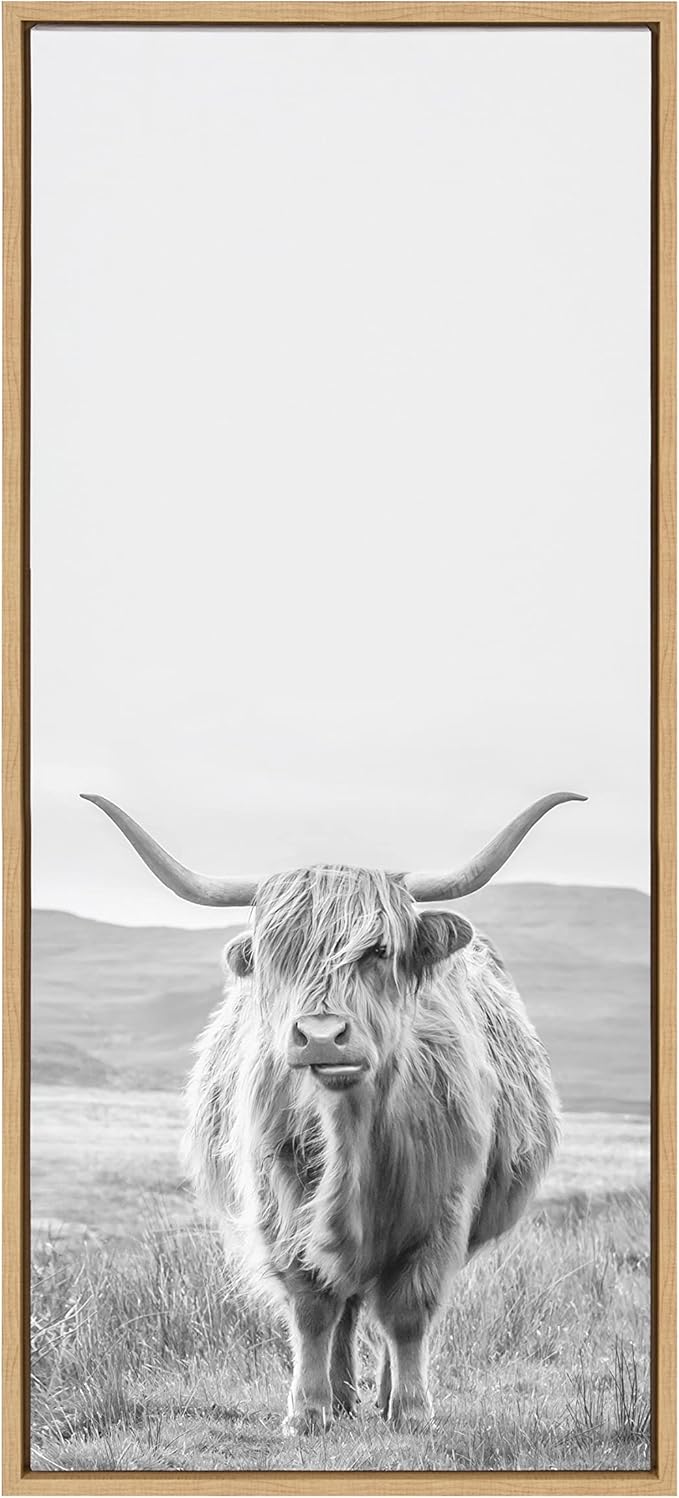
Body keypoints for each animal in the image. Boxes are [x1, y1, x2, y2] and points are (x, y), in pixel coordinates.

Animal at [82, 789, 584, 1433]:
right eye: (275, 953)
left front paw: (412, 1410)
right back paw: (343, 1396)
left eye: (378, 951)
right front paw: (309, 1409)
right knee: (343, 1303)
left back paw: (385, 1394)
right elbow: (313, 1304)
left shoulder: (443, 1209)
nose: (321, 1036)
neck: (352, 1135)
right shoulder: (278, 1200)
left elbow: (408, 1310)